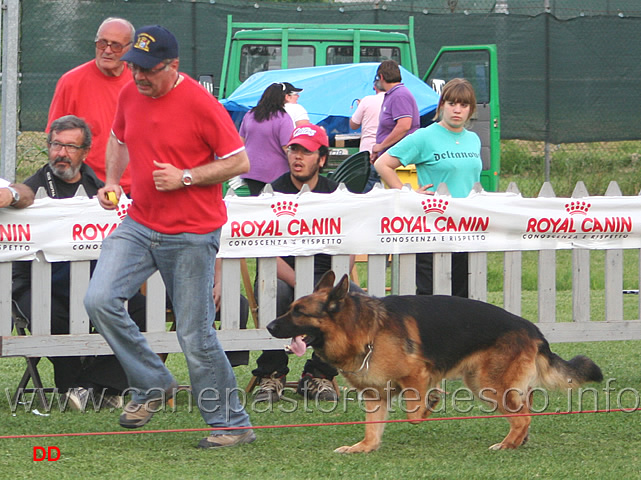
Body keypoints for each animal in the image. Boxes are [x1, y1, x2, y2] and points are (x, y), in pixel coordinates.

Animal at [268, 270, 604, 454]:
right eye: (290, 308)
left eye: (299, 312)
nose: (269, 326)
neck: (364, 330)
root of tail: (533, 330)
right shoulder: (375, 396)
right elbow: (372, 429)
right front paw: (363, 448)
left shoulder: (417, 374)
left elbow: (414, 412)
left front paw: (431, 403)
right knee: (527, 409)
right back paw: (518, 441)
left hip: (487, 385)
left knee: (522, 416)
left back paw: (507, 445)